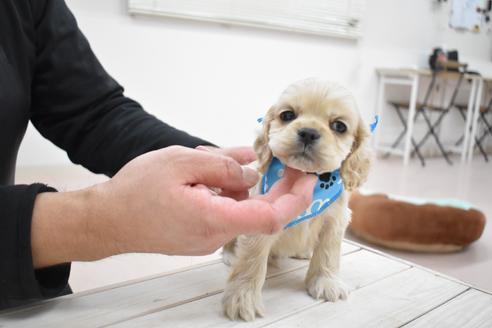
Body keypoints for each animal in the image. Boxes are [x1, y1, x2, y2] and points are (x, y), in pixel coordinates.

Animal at [221, 79, 370, 320]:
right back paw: (230, 254)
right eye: (288, 115)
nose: (308, 133)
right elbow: (251, 260)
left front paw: (326, 282)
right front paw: (242, 297)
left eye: (339, 126)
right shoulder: (260, 218)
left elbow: (328, 253)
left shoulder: (334, 220)